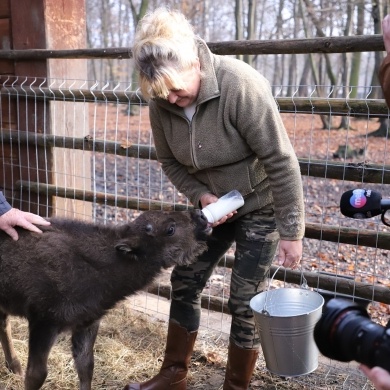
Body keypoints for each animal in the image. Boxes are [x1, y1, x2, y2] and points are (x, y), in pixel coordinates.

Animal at [0, 210, 210, 390]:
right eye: (170, 229)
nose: (201, 215)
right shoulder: (43, 323)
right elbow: (37, 375)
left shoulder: (87, 323)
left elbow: (86, 366)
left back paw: (15, 367)